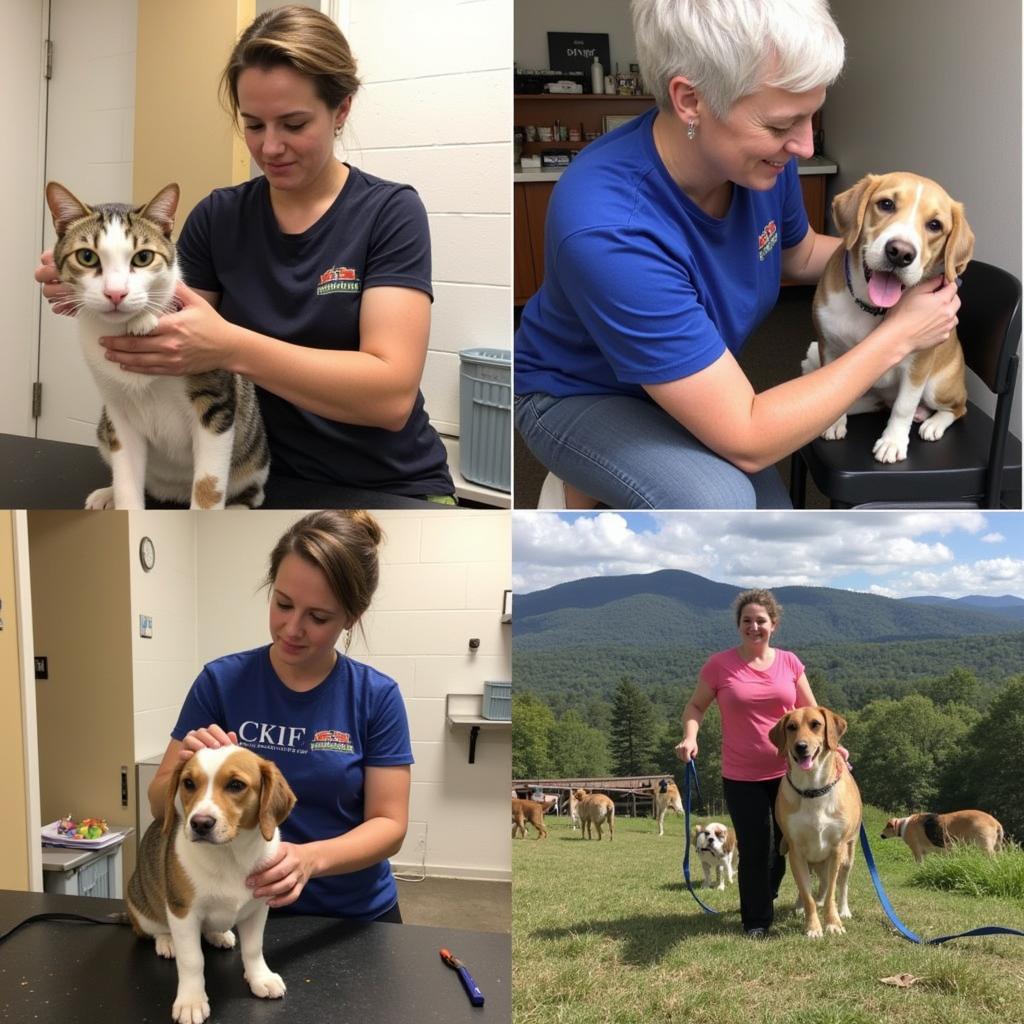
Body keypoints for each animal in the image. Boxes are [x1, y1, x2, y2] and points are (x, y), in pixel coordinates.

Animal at [45, 182, 268, 509]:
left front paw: (148, 316)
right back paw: (107, 494)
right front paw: (122, 501)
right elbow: (126, 477)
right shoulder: (119, 413)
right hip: (105, 429)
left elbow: (209, 483)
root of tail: (171, 491)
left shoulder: (215, 406)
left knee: (253, 490)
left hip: (253, 456)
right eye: (86, 256)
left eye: (143, 258)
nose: (115, 293)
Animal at [124, 745, 296, 1024]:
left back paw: (218, 934)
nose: (200, 823)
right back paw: (167, 941)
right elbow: (192, 960)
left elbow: (253, 948)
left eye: (236, 785)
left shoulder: (258, 908)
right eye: (188, 783)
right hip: (143, 908)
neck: (230, 854)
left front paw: (260, 977)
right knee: (154, 928)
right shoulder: (183, 913)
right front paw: (191, 1001)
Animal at [770, 708, 864, 937]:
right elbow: (806, 893)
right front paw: (813, 927)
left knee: (841, 884)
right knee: (814, 886)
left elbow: (832, 892)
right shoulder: (796, 851)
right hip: (809, 861)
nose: (801, 746)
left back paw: (844, 910)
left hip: (848, 854)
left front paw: (834, 923)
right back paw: (800, 906)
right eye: (791, 727)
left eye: (816, 724)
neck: (812, 789)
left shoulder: (837, 849)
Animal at [798, 174, 974, 462]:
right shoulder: (830, 347)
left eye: (935, 225)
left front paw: (893, 441)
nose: (900, 253)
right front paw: (834, 421)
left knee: (958, 408)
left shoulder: (918, 366)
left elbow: (904, 406)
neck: (872, 308)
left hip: (937, 386)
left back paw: (933, 423)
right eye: (886, 204)